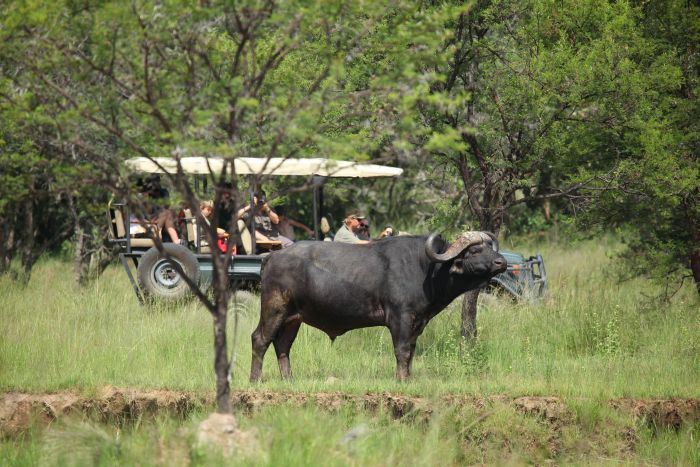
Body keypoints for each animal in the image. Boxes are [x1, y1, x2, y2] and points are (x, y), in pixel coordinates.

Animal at [249, 232, 506, 382]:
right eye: (475, 250)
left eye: (491, 247)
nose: (501, 261)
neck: (428, 269)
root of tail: (271, 257)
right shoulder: (400, 318)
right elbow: (402, 351)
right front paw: (401, 380)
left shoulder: (417, 322)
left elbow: (411, 352)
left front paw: (408, 378)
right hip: (274, 309)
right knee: (260, 339)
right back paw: (255, 379)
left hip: (294, 318)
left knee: (283, 345)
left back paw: (288, 379)